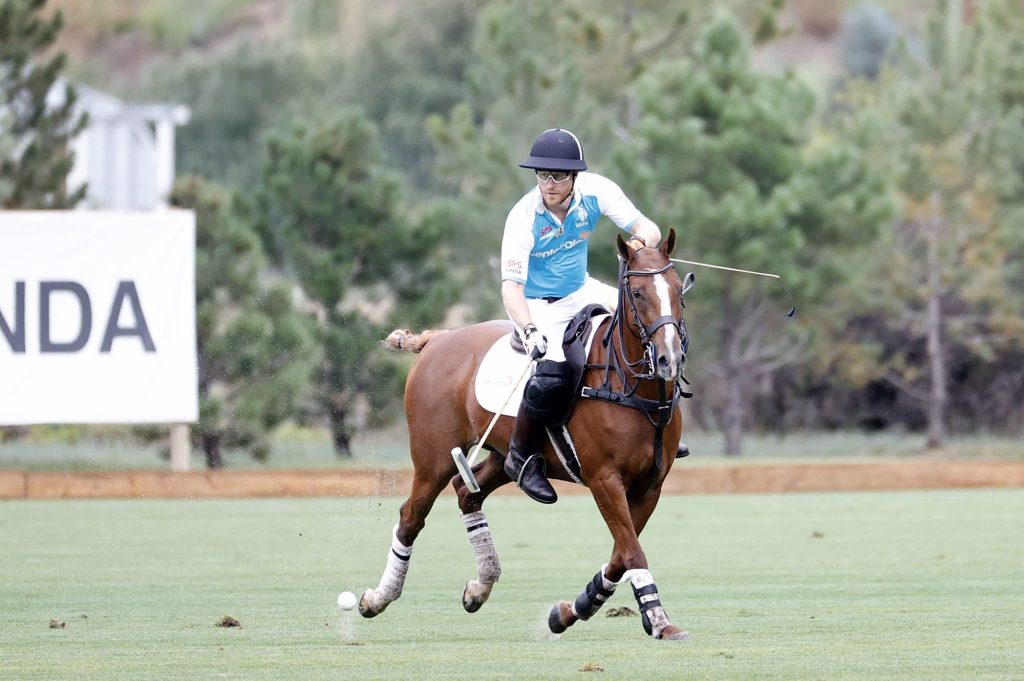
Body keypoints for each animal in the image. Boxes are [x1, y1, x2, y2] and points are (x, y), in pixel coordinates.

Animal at [356, 231, 692, 639]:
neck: (629, 386)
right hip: (432, 457)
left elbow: (620, 555)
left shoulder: (650, 486)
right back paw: (377, 598)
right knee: (411, 515)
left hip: (503, 456)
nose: (669, 359)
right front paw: (659, 620)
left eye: (678, 291)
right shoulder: (604, 479)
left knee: (468, 490)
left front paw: (570, 611)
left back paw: (480, 587)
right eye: (639, 294)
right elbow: (631, 550)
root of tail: (438, 339)